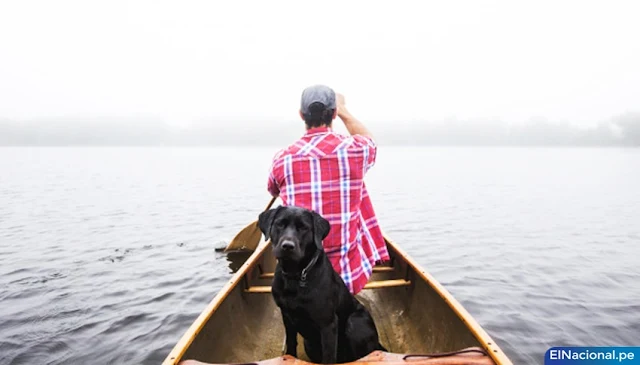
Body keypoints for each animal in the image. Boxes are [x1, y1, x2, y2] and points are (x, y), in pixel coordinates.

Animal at [256, 206, 384, 362]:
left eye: (303, 227)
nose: (287, 246)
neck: (296, 276)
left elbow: (328, 356)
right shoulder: (286, 315)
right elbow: (291, 344)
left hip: (355, 322)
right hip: (309, 344)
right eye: (280, 224)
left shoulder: (328, 324)